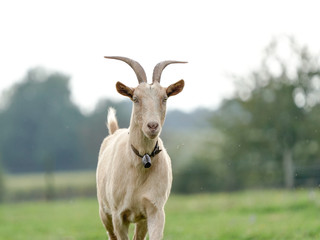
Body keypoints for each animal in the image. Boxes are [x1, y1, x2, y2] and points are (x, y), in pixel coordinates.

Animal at [97, 55, 188, 238]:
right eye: (135, 98)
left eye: (165, 98)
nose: (152, 126)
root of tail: (115, 131)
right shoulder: (118, 215)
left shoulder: (154, 209)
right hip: (104, 211)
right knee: (110, 233)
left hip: (141, 219)